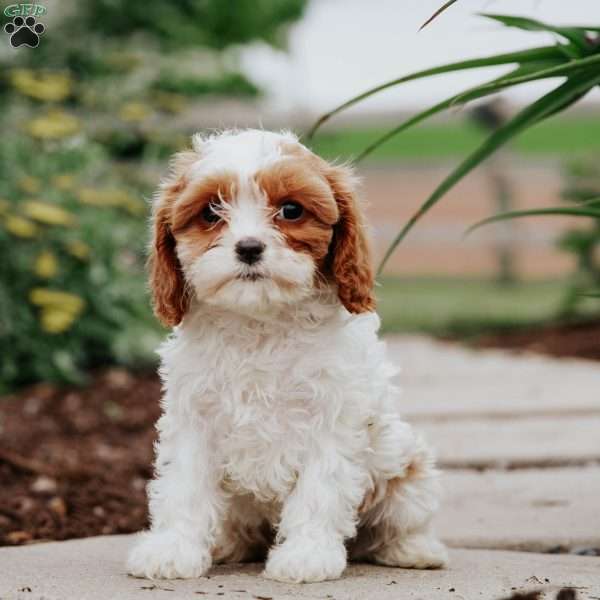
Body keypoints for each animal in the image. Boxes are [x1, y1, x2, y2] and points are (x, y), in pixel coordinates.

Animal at [126, 130, 446, 580]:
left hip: (407, 468)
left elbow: (319, 489)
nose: (248, 247)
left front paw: (306, 556)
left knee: (402, 519)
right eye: (210, 212)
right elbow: (183, 486)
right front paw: (173, 549)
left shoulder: (332, 419)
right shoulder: (194, 418)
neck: (260, 322)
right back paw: (225, 545)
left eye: (291, 210)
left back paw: (414, 550)